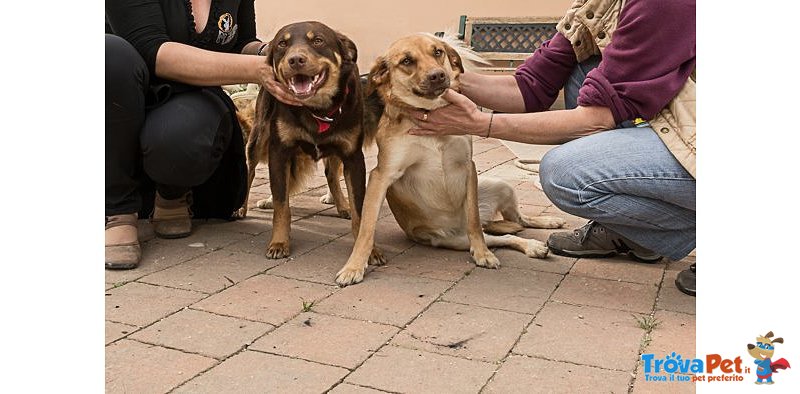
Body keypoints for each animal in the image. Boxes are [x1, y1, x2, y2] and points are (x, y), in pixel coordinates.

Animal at [242, 20, 382, 262]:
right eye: (282, 44)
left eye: (318, 40)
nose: (296, 60)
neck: (317, 109)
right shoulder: (279, 152)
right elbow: (281, 205)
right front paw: (279, 242)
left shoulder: (353, 156)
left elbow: (360, 207)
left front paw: (367, 249)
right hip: (257, 139)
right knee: (249, 171)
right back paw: (240, 208)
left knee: (331, 174)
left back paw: (342, 205)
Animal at [334, 33, 564, 284]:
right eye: (406, 61)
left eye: (438, 52)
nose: (438, 75)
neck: (430, 114)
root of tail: (488, 222)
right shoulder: (381, 175)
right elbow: (366, 228)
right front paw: (354, 266)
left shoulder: (468, 167)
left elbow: (473, 220)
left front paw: (483, 254)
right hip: (453, 240)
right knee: (504, 236)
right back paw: (532, 246)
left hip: (501, 187)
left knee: (511, 222)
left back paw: (542, 230)